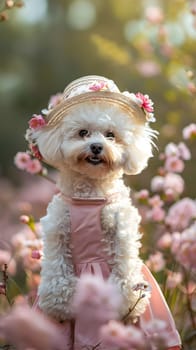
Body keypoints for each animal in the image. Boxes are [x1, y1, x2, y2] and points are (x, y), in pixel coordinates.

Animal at [27, 76, 181, 350]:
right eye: (83, 133)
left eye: (111, 135)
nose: (97, 147)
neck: (89, 195)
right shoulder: (57, 231)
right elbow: (57, 268)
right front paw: (58, 305)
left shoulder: (122, 230)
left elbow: (124, 267)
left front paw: (130, 305)